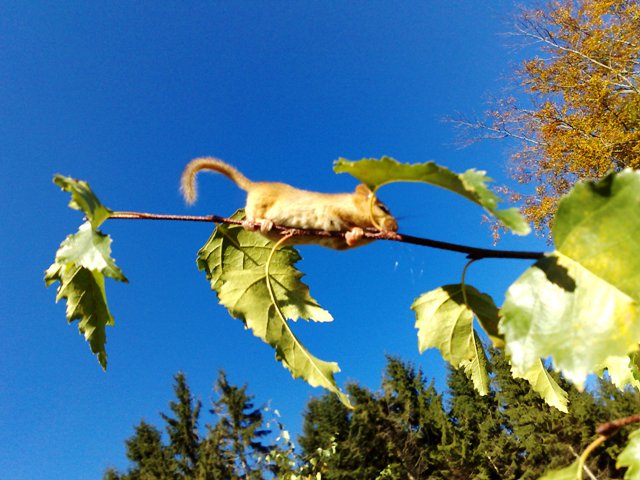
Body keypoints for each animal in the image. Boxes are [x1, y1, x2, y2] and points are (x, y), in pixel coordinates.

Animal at [180, 157, 398, 249]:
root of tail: (253, 186)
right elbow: (343, 222)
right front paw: (357, 230)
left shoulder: (334, 242)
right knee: (251, 217)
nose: (396, 228)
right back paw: (259, 222)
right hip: (259, 204)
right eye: (382, 208)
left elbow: (345, 242)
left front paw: (356, 235)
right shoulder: (332, 211)